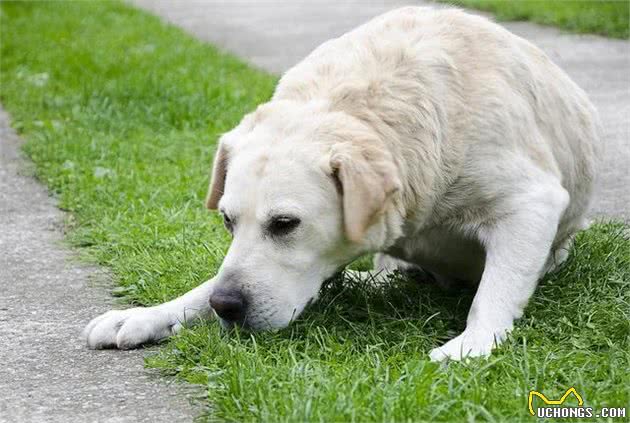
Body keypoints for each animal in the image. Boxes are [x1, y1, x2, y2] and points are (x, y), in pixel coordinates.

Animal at [84, 6, 604, 362]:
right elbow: (206, 282)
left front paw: (471, 344)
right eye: (228, 221)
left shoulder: (531, 202)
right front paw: (151, 314)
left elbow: (494, 291)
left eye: (285, 223)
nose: (227, 306)